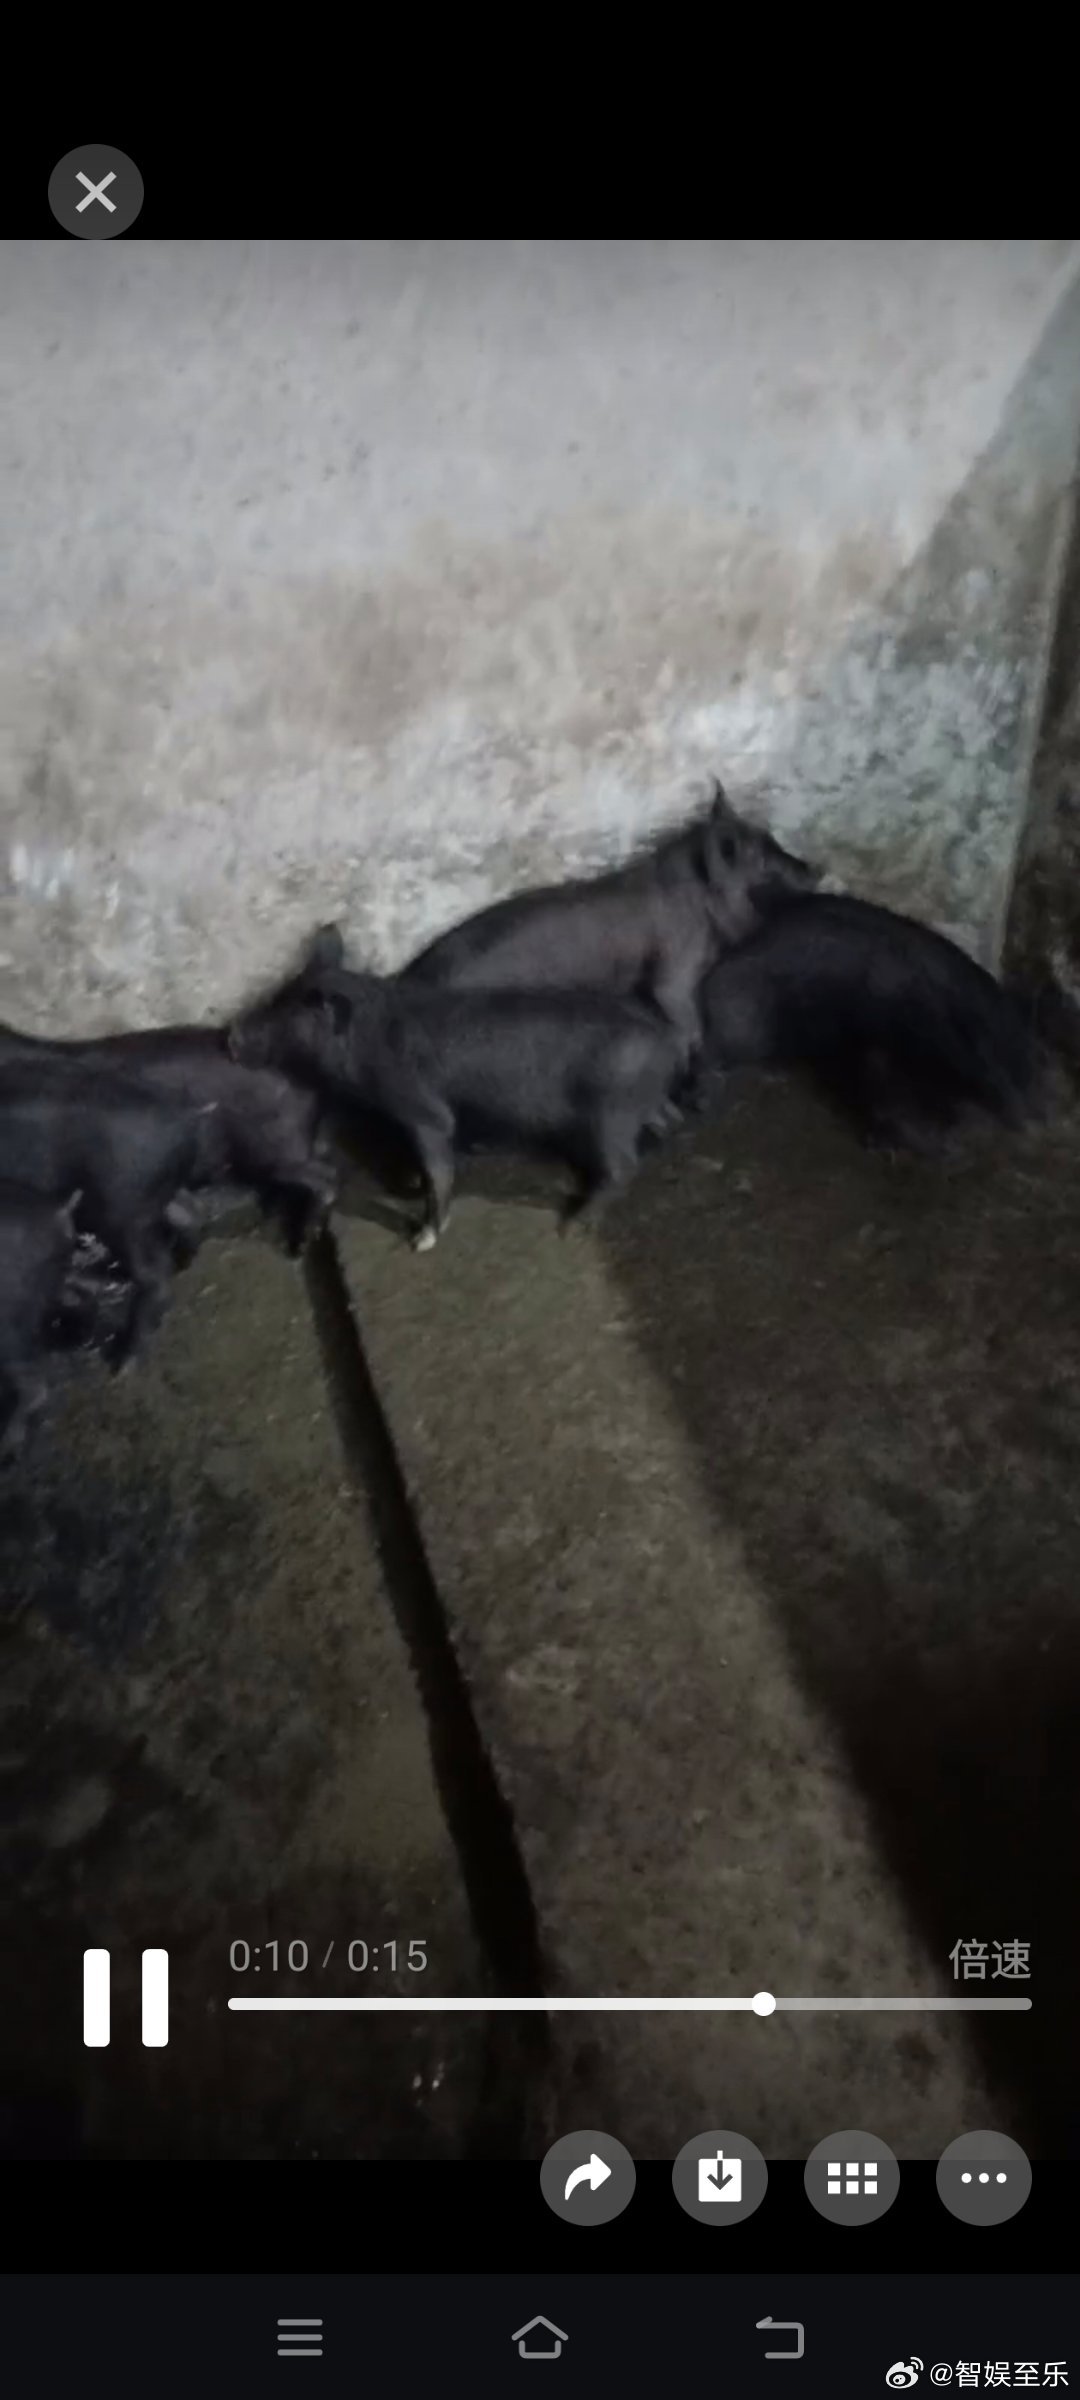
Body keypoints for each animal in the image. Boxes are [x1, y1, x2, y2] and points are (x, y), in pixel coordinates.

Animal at [0, 1063, 217, 1361]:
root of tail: (187, 1114)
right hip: (155, 1197)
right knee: (192, 1214)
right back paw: (183, 1264)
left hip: (125, 1214)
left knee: (154, 1277)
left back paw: (123, 1361)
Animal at [231, 964, 692, 1247]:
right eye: (276, 997)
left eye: (288, 1014)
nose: (231, 1035)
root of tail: (668, 1037)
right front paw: (409, 1183)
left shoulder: (423, 1110)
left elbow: (439, 1164)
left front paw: (421, 1240)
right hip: (638, 1102)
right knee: (669, 1120)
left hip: (608, 1113)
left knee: (621, 1166)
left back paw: (571, 1226)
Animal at [399, 779, 819, 1037]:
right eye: (761, 860)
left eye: (773, 838)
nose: (814, 867)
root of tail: (415, 981)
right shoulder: (675, 967)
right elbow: (686, 1017)